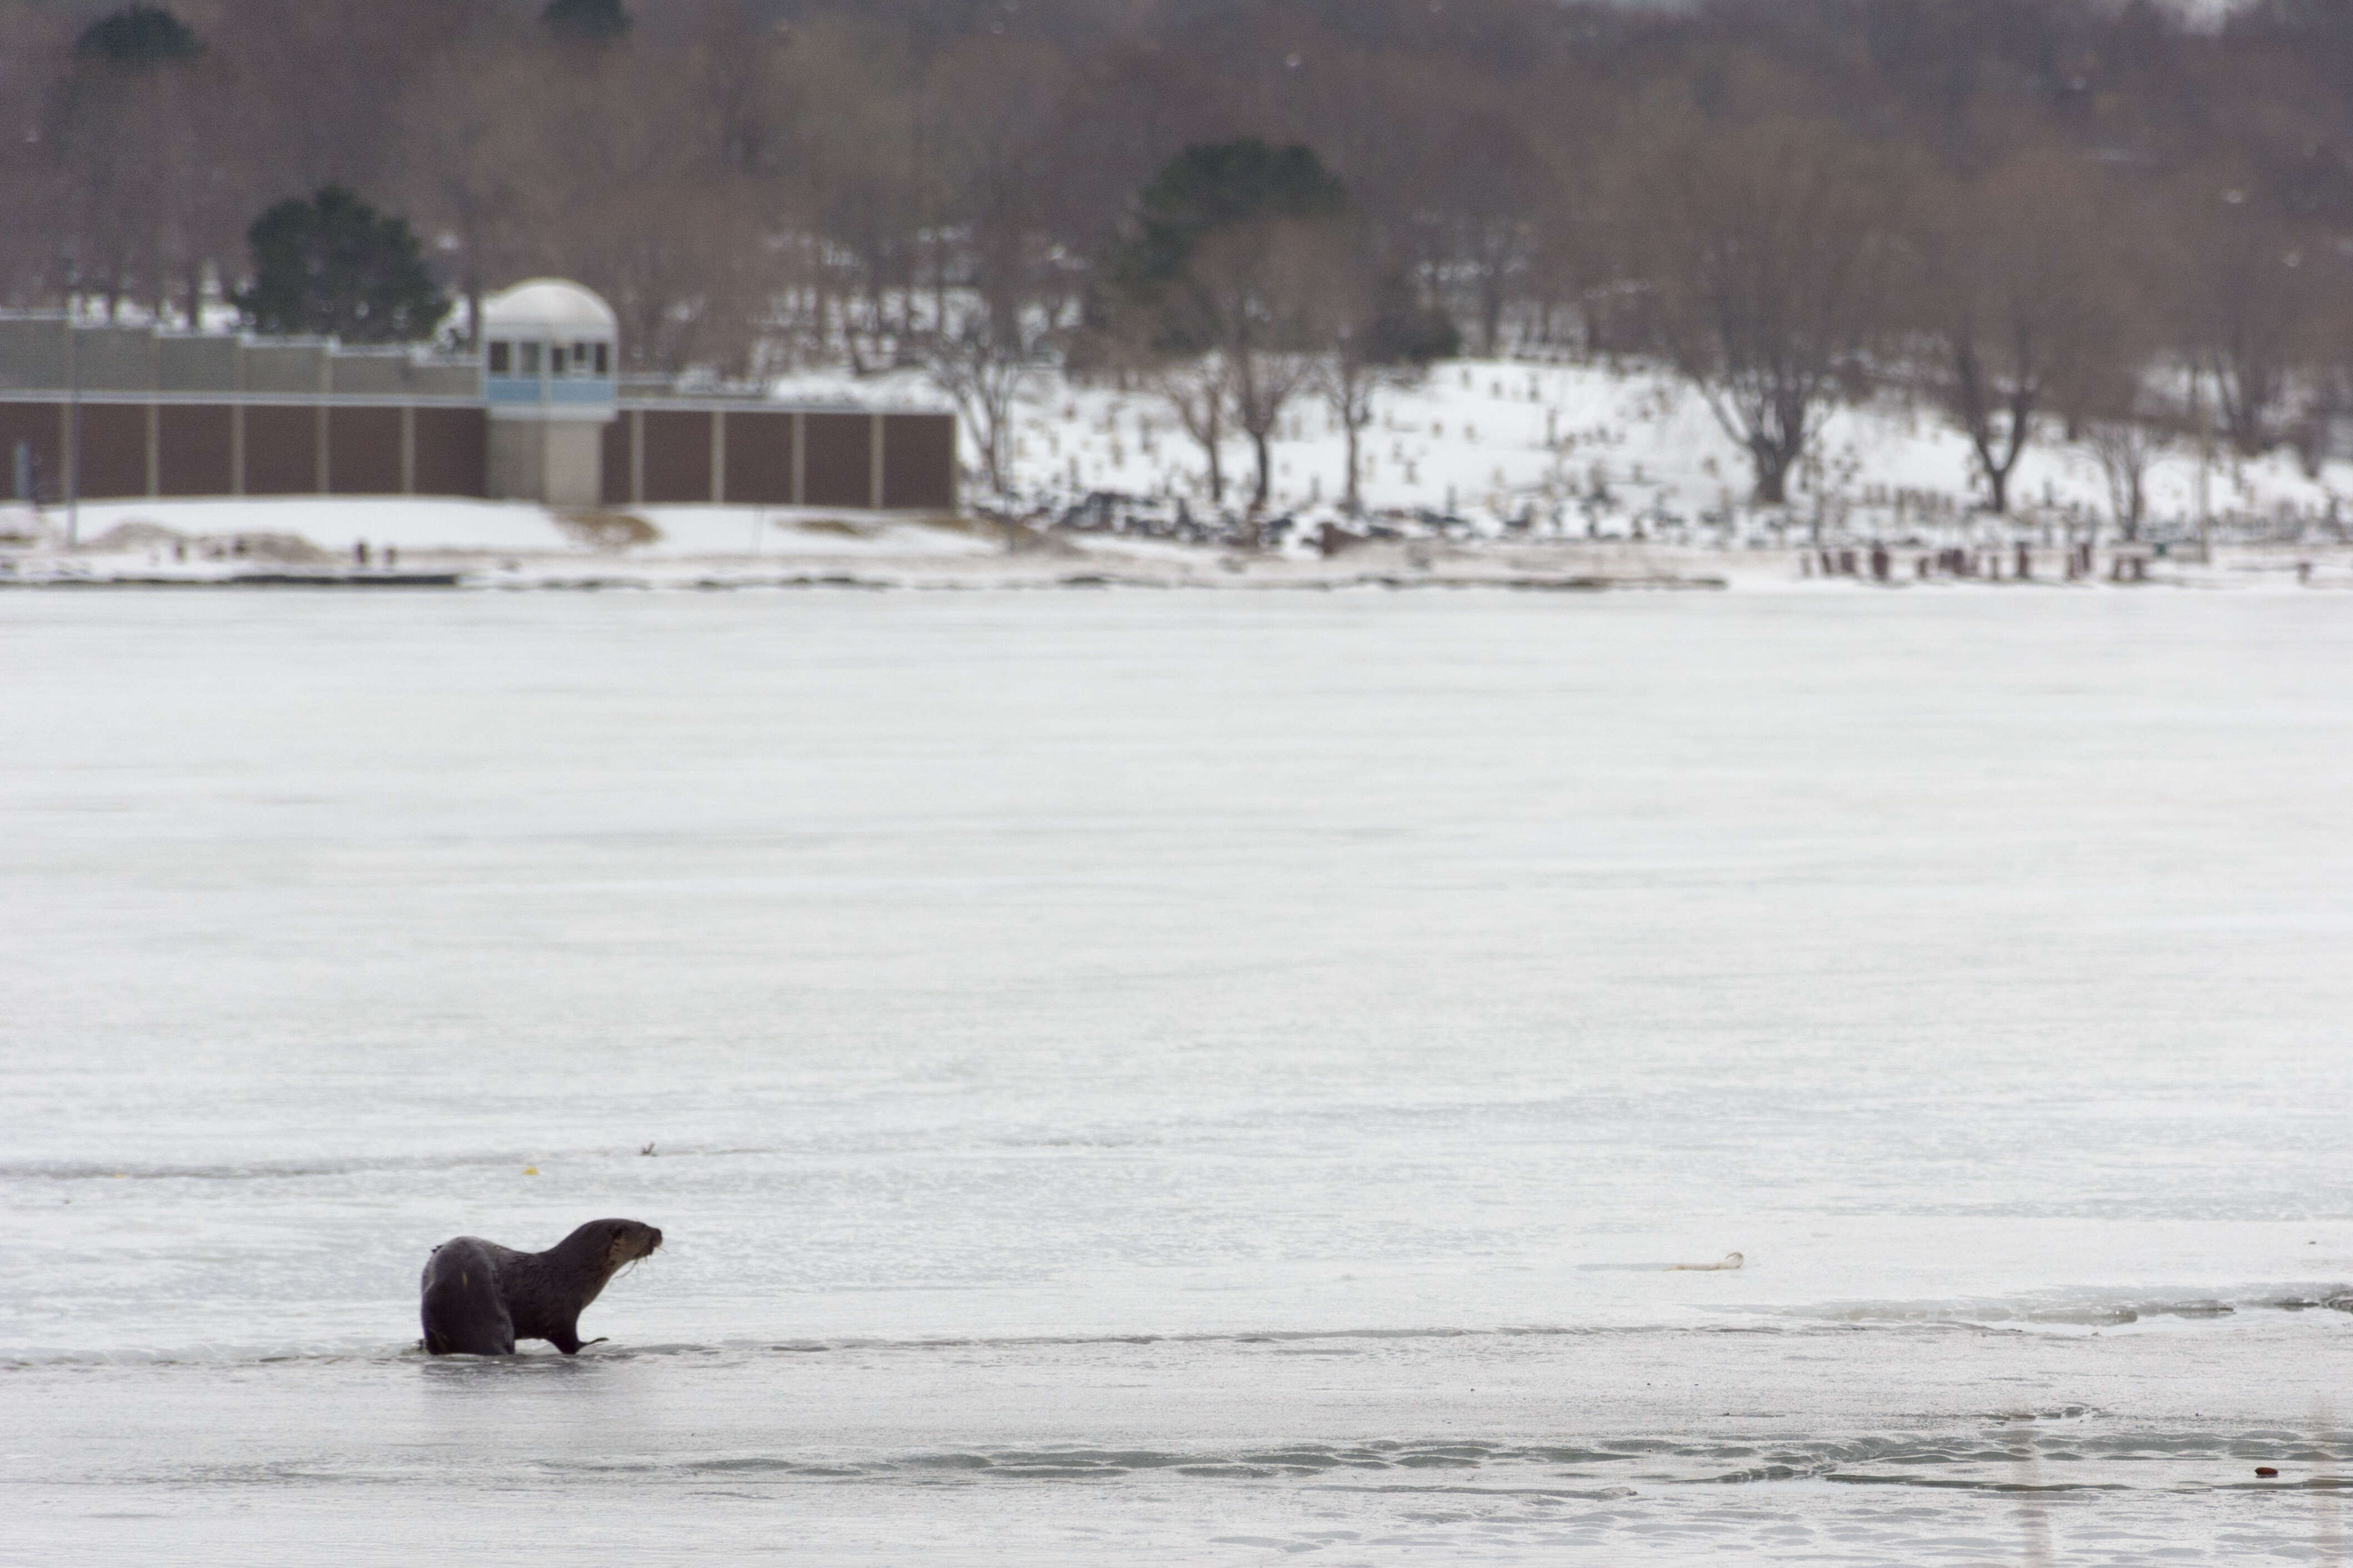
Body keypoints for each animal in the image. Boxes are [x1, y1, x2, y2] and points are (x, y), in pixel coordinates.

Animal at [419, 1222, 663, 1354]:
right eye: (643, 1228)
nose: (660, 1232)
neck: (569, 1275)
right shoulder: (562, 1312)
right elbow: (570, 1341)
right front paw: (597, 1341)